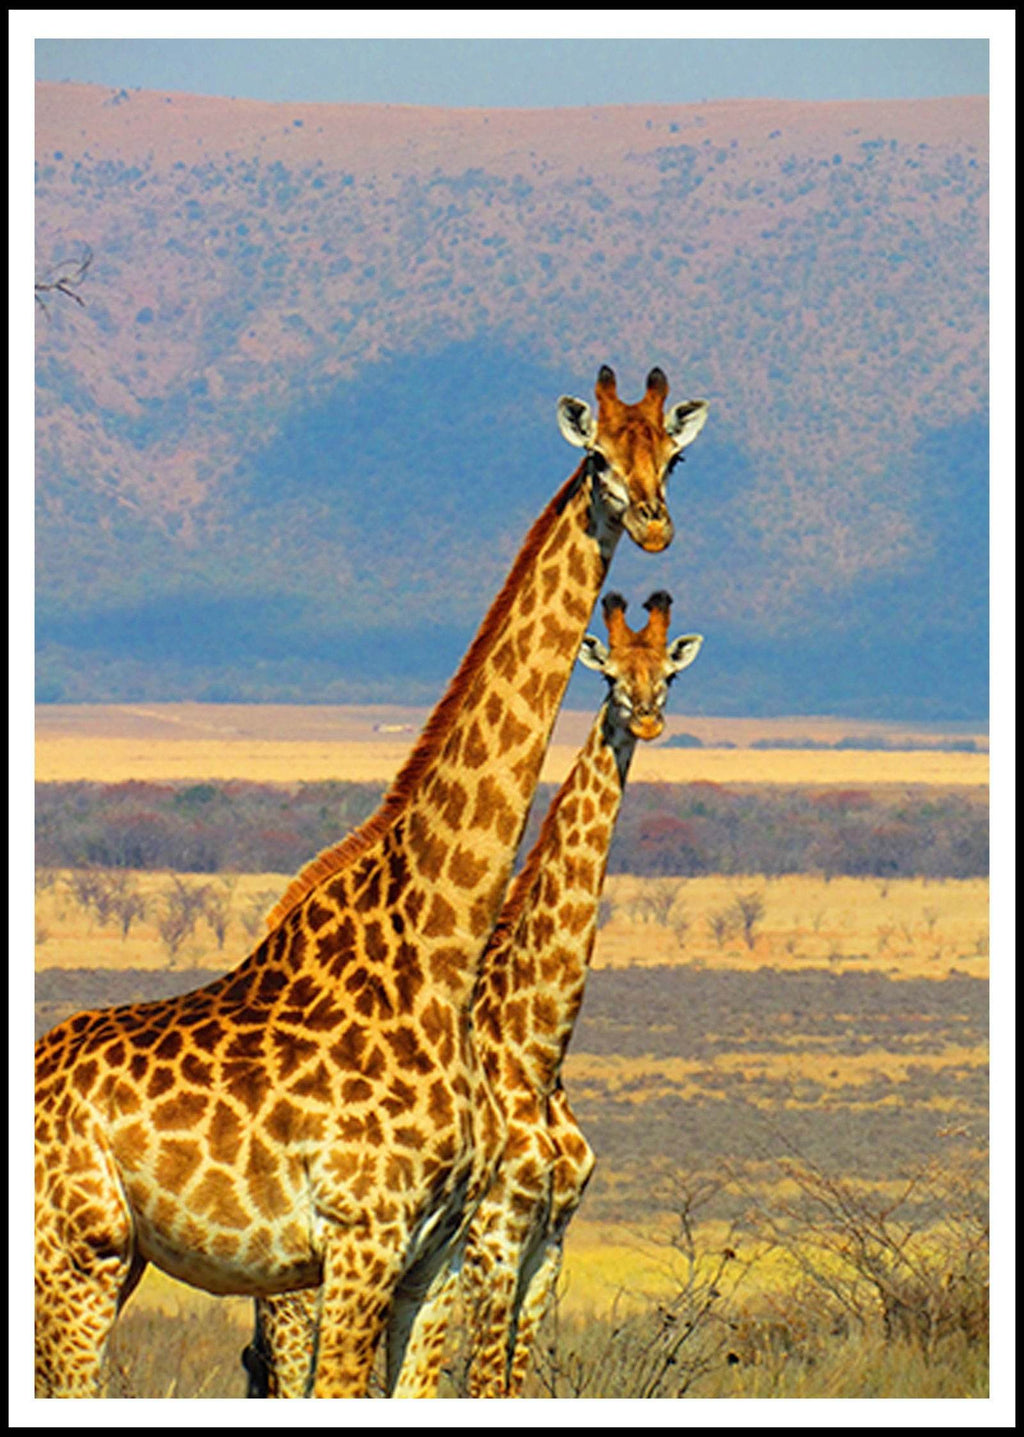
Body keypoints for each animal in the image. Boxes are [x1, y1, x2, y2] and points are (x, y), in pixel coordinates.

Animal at [245, 591, 703, 1399]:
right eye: (611, 674)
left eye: (668, 675)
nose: (646, 716)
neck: (538, 1047)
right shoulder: (494, 1236)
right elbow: (482, 1383)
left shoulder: (548, 1244)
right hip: (298, 1291)